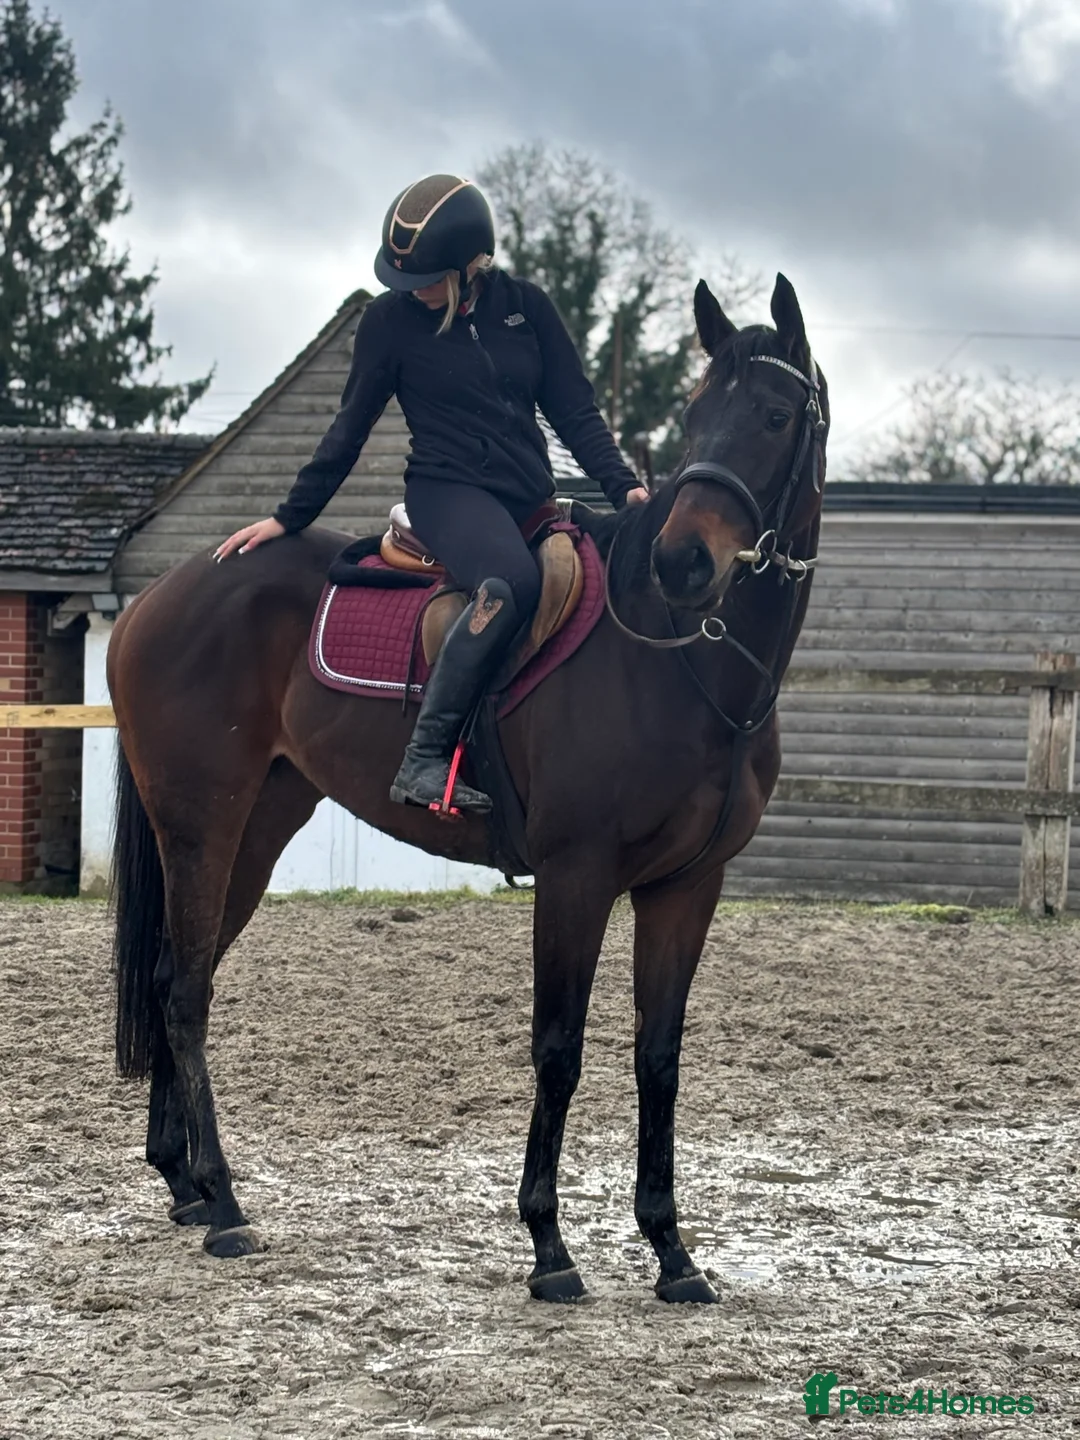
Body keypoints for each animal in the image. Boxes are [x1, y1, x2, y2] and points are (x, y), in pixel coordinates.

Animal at [108, 273, 829, 1304]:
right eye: (696, 415)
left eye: (773, 414)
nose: (683, 561)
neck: (675, 656)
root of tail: (166, 592)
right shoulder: (576, 876)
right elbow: (559, 1049)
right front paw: (549, 1246)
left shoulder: (687, 886)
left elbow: (658, 1057)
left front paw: (671, 1251)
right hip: (202, 822)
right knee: (185, 991)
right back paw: (225, 1202)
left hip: (254, 829)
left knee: (180, 973)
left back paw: (186, 1184)